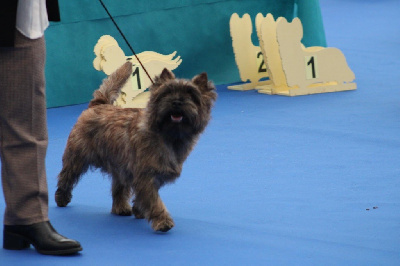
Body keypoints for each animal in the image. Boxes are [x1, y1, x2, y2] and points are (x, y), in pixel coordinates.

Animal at [55, 61, 217, 232]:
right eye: (167, 93)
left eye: (191, 95)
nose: (177, 102)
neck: (168, 136)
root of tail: (98, 105)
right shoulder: (145, 175)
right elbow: (154, 200)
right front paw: (162, 221)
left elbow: (144, 197)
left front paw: (139, 211)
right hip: (77, 157)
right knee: (66, 177)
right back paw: (61, 198)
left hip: (120, 167)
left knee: (118, 188)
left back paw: (120, 208)